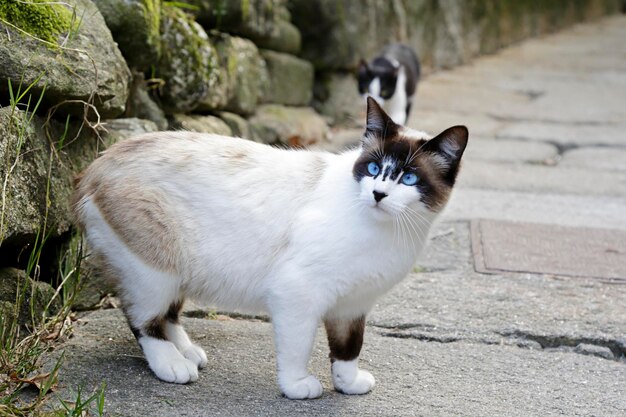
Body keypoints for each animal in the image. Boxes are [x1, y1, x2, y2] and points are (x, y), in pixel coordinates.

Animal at [72, 96, 464, 396]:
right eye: (372, 169)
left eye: (409, 178)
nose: (378, 194)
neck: (388, 232)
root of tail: (93, 166)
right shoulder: (298, 293)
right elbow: (298, 347)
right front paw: (297, 387)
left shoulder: (353, 304)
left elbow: (348, 348)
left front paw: (348, 384)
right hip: (155, 270)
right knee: (143, 319)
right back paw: (172, 364)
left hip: (179, 271)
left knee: (168, 314)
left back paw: (187, 352)